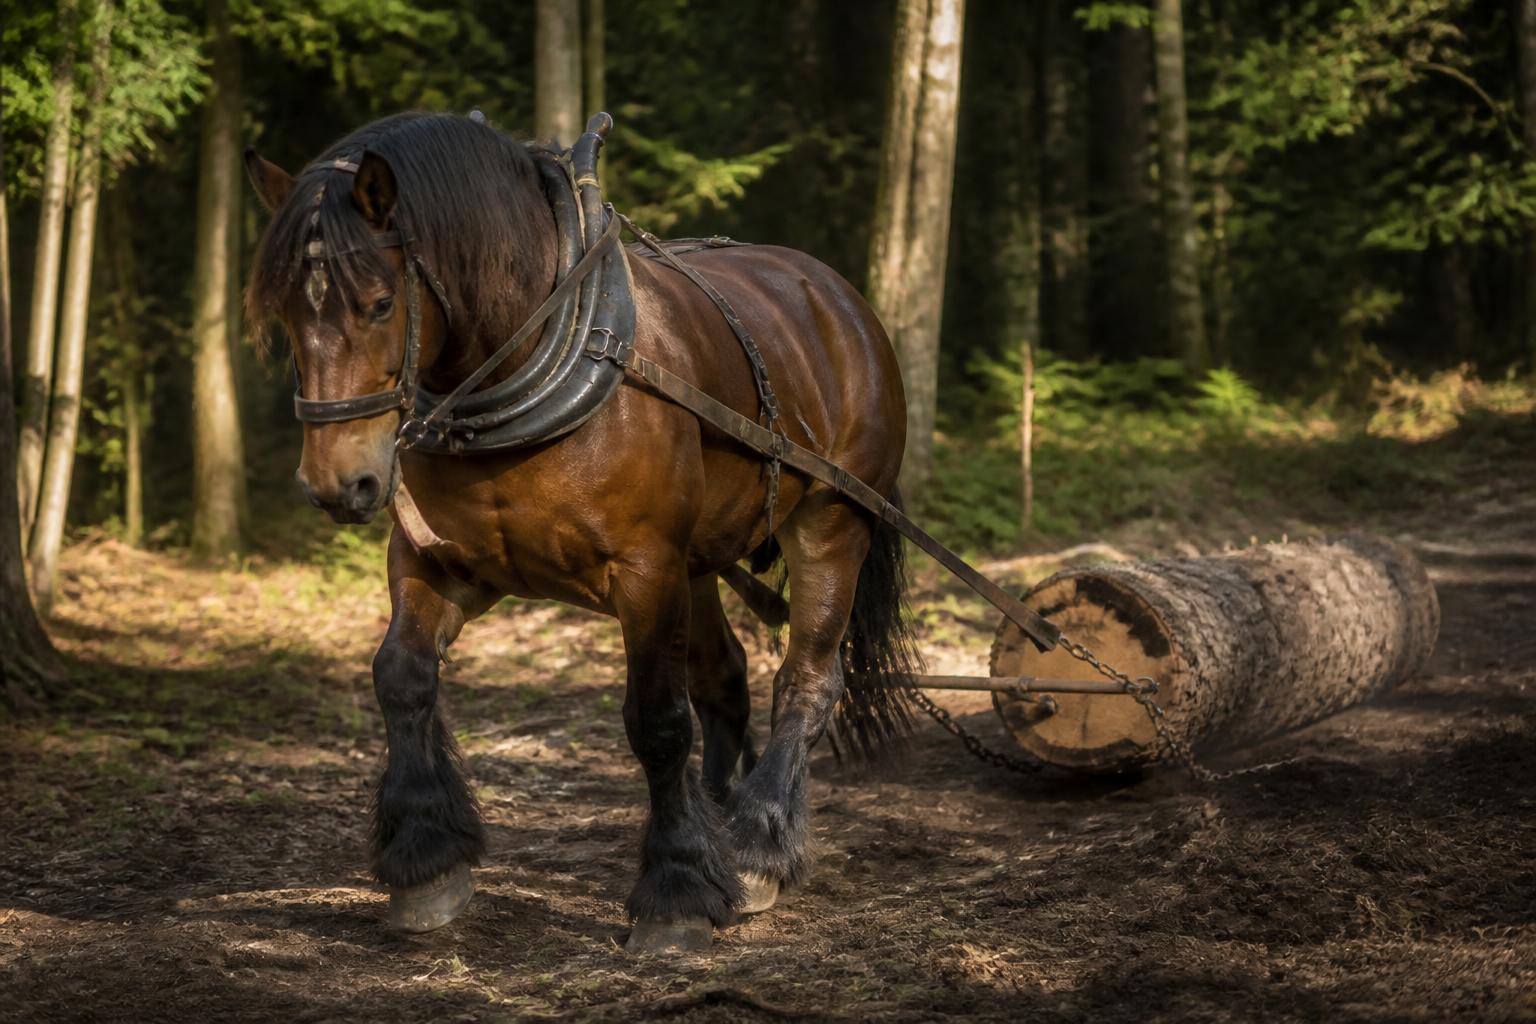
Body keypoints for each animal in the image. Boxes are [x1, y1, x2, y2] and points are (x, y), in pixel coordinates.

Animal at [243, 110, 917, 952]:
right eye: (285, 313)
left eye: (378, 303)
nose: (338, 484)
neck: (533, 355)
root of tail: (837, 295)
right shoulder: (440, 560)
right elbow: (401, 675)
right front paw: (426, 859)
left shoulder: (646, 569)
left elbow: (659, 723)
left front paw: (677, 890)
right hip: (701, 562)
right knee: (725, 678)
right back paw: (724, 814)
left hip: (832, 522)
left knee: (806, 679)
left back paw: (759, 847)